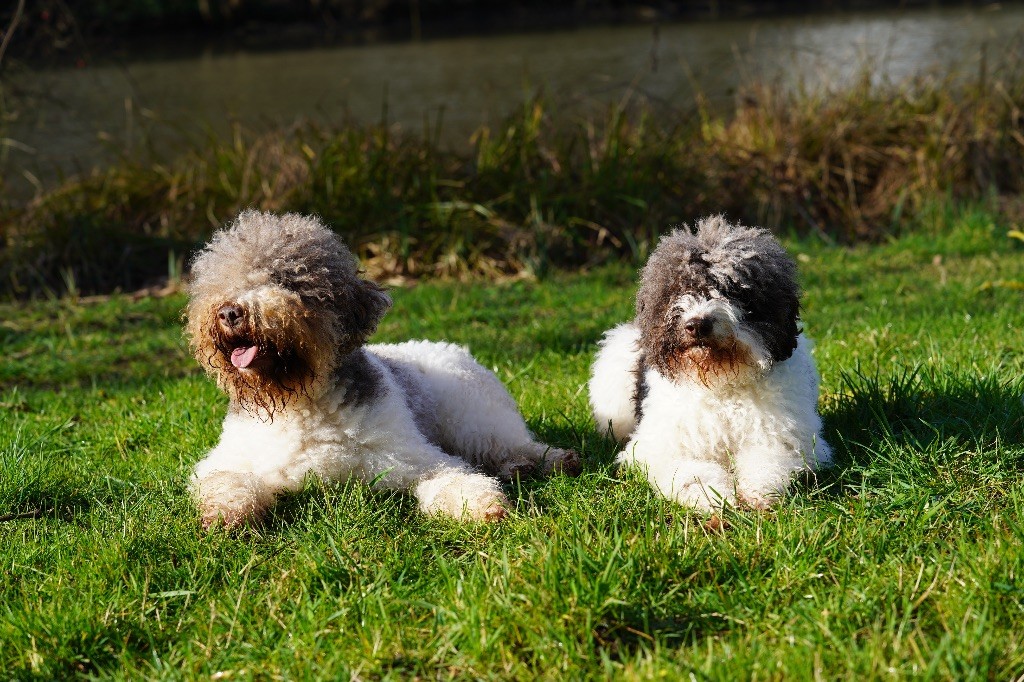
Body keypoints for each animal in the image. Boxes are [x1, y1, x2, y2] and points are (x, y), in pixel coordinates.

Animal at [185, 209, 577, 528]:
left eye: (286, 279)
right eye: (221, 281)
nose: (229, 312)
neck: (302, 402)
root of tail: (452, 348)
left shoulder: (416, 459)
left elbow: (455, 478)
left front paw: (484, 505)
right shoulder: (228, 461)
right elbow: (226, 482)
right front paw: (226, 514)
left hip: (474, 418)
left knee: (509, 443)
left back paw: (548, 460)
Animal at [593, 215, 831, 507]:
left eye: (734, 291)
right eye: (677, 290)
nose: (697, 325)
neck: (721, 384)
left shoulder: (789, 437)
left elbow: (769, 459)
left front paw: (758, 491)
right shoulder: (660, 447)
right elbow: (688, 472)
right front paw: (712, 496)